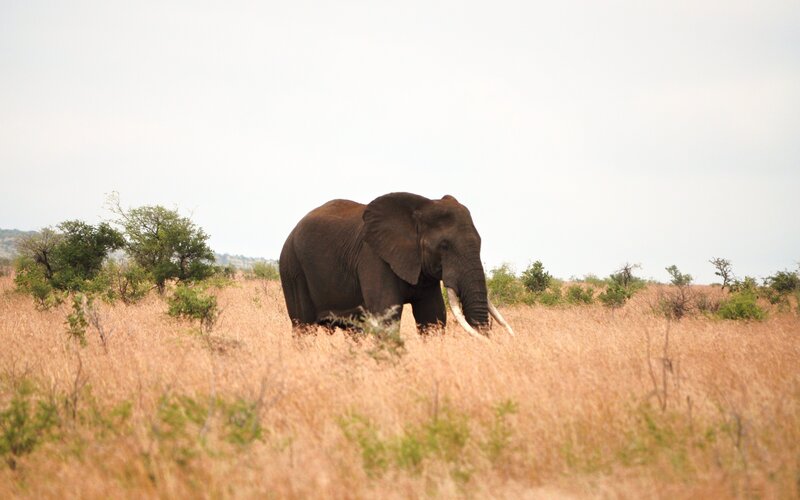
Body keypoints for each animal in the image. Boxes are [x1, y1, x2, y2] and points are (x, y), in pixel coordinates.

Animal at [279, 192, 514, 340]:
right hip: (292, 268)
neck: (421, 208)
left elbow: (432, 316)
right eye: (444, 246)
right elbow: (387, 314)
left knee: (354, 331)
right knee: (303, 327)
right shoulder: (373, 257)